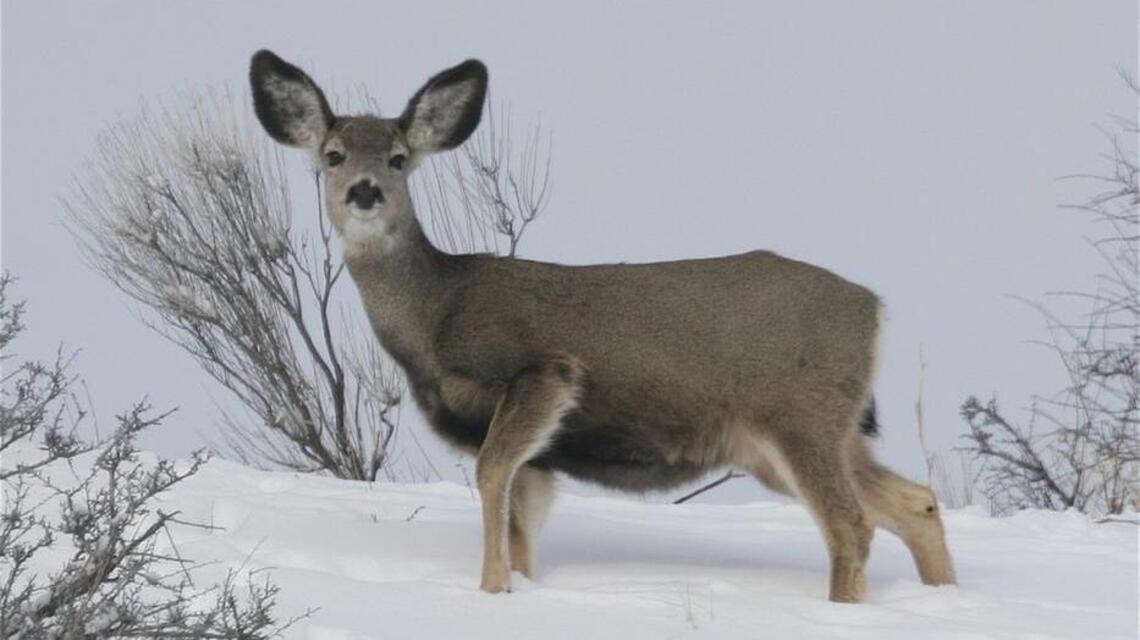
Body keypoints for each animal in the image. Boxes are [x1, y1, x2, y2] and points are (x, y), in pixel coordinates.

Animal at [248, 50, 956, 603]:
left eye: (398, 158)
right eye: (333, 154)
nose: (364, 191)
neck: (436, 313)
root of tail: (875, 309)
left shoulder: (540, 373)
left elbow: (491, 479)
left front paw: (490, 591)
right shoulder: (540, 454)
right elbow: (521, 526)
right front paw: (515, 586)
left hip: (798, 414)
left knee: (851, 525)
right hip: (807, 437)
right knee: (916, 501)